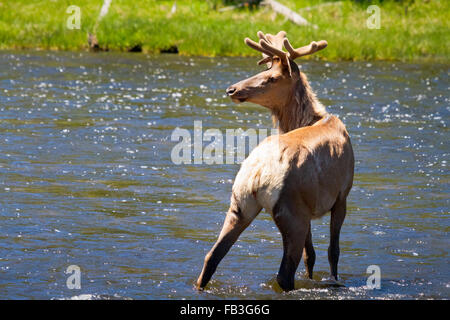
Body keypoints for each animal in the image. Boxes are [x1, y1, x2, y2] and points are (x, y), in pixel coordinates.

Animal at [197, 31, 356, 292]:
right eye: (265, 71)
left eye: (271, 77)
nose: (232, 89)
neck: (314, 119)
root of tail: (257, 174)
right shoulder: (342, 194)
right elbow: (333, 251)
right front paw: (334, 281)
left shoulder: (315, 205)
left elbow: (311, 255)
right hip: (292, 212)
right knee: (284, 274)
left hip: (240, 205)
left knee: (211, 256)